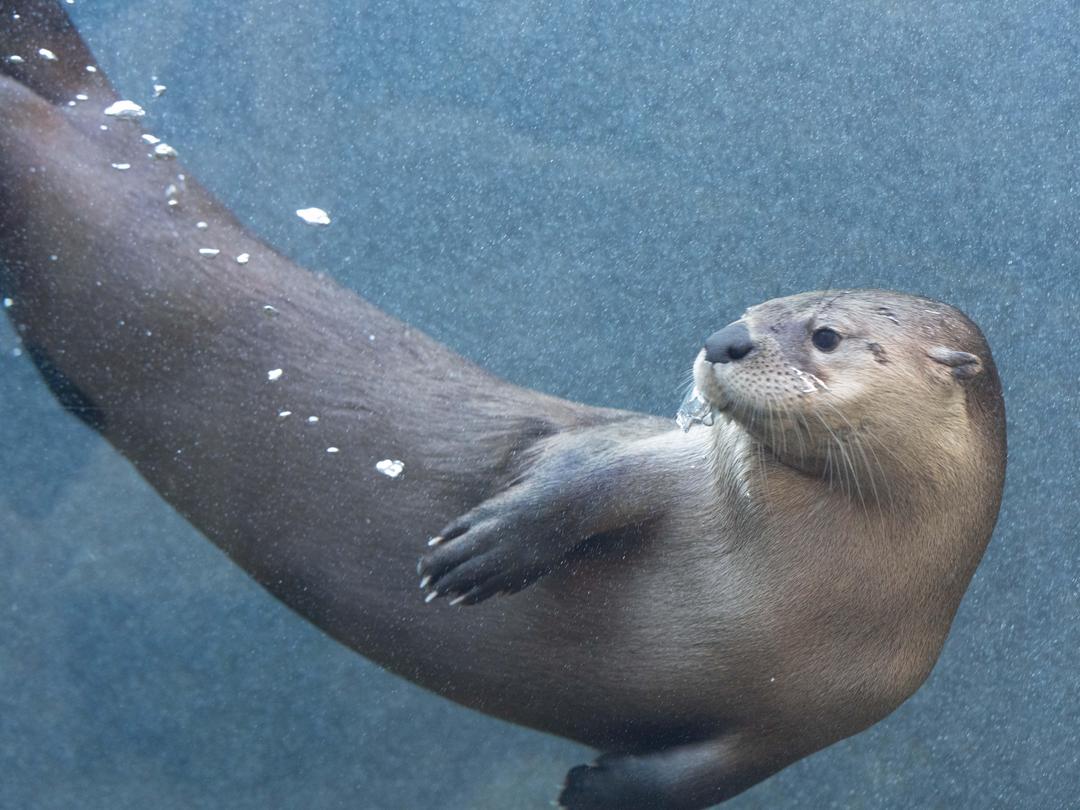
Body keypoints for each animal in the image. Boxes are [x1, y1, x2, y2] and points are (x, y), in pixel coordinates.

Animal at [0, 4, 1005, 808]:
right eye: (757, 303)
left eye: (825, 333)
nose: (725, 339)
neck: (795, 584)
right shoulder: (671, 467)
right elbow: (579, 476)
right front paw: (480, 552)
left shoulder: (826, 714)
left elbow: (702, 778)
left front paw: (593, 788)